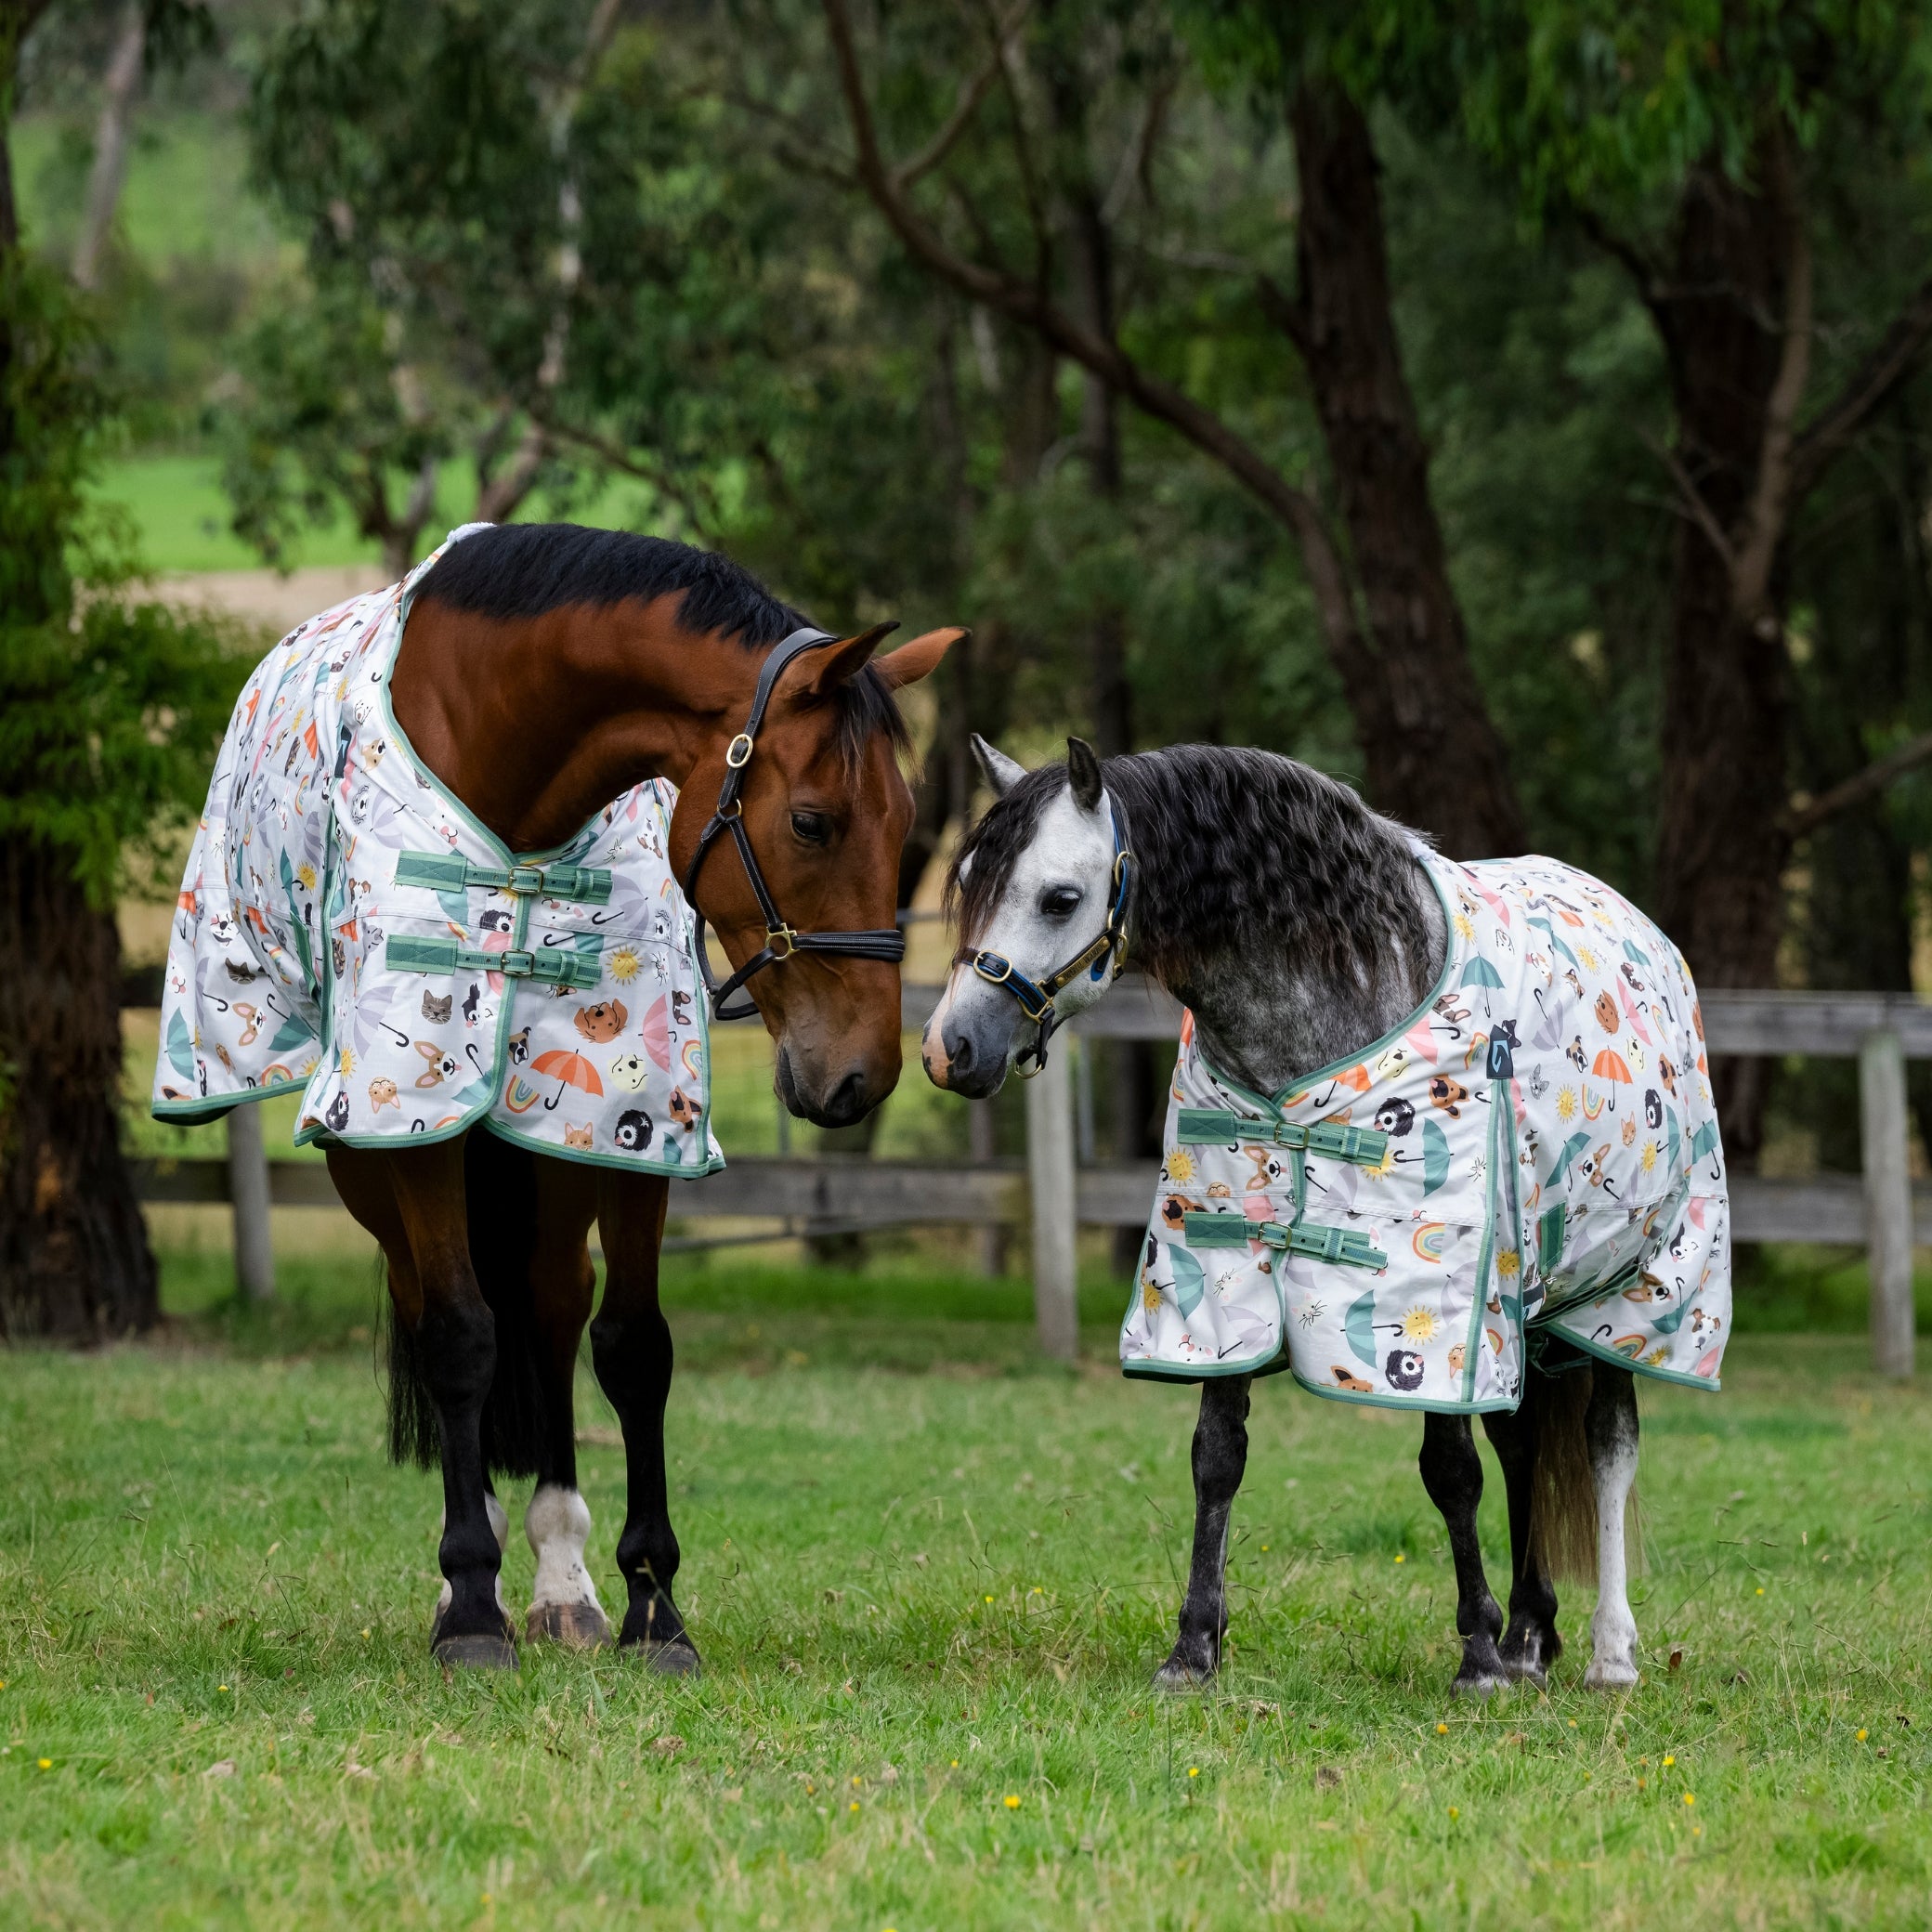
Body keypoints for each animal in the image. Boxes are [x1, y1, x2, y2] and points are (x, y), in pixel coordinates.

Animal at [163, 521, 957, 1670]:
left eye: (904, 824)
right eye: (813, 821)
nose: (862, 1074)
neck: (507, 760)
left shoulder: (633, 1123)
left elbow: (633, 1346)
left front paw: (652, 1604)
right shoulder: (411, 1116)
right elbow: (458, 1336)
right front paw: (469, 1602)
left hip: (554, 1143)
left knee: (546, 1303)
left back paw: (562, 1577)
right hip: (375, 1159)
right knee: (437, 1308)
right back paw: (480, 1573)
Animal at [922, 734, 1730, 1695]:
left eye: (1059, 897)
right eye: (968, 880)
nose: (949, 1049)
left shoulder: (1433, 1303)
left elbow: (1450, 1470)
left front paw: (1477, 1655)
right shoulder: (1220, 1276)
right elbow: (1216, 1457)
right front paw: (1193, 1650)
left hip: (1624, 1295)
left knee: (1608, 1443)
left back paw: (1609, 1652)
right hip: (1524, 1299)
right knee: (1524, 1440)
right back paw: (1534, 1634)